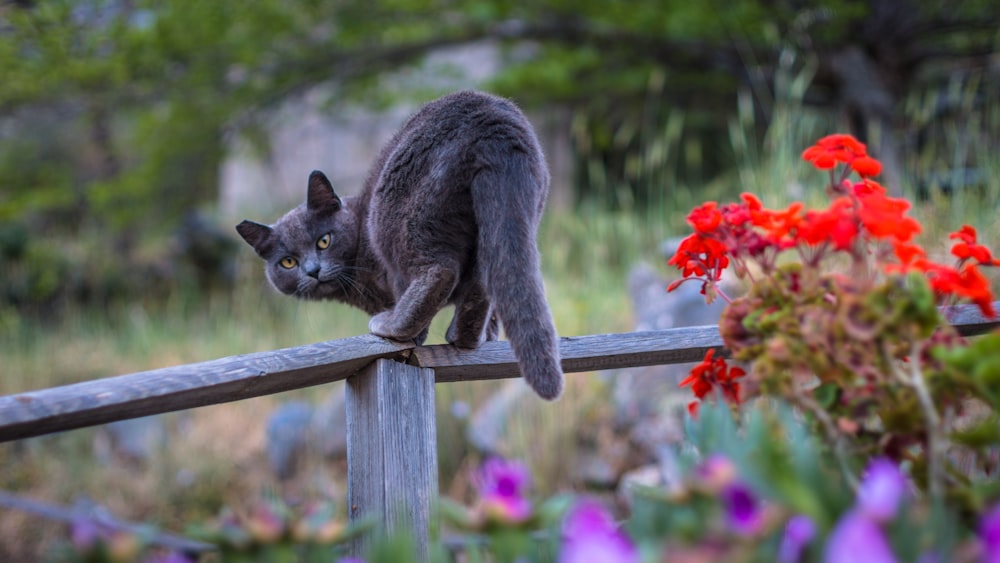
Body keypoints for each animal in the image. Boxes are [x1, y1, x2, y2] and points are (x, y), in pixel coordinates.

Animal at [235, 91, 564, 400]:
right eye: (288, 261)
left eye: (324, 241)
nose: (312, 271)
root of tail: (493, 125)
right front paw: (491, 334)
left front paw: (416, 338)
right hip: (511, 216)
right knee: (485, 277)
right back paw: (465, 337)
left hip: (397, 216)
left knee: (438, 271)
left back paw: (392, 326)